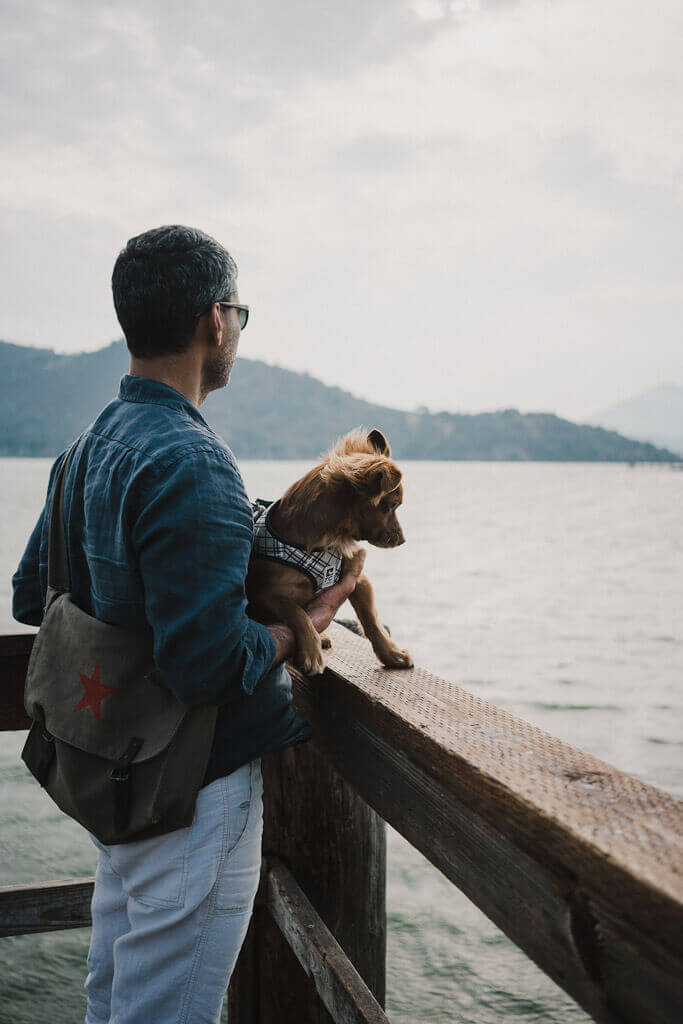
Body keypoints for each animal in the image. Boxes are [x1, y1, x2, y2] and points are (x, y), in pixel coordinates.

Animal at [246, 428, 413, 675]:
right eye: (392, 506)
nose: (402, 540)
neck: (330, 541)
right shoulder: (265, 594)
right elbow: (297, 613)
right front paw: (310, 652)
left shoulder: (359, 579)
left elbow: (371, 620)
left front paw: (391, 655)